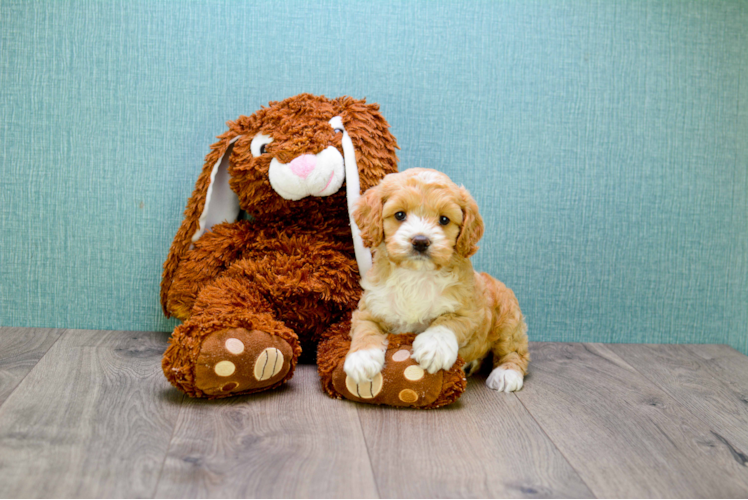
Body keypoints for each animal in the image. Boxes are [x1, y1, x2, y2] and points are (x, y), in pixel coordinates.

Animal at [342, 170, 528, 392]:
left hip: (508, 319)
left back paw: (507, 373)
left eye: (444, 219)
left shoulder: (470, 312)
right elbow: (365, 329)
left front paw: (434, 348)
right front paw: (361, 360)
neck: (416, 274)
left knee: (514, 350)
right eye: (399, 215)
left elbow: (447, 321)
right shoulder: (370, 306)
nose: (421, 241)